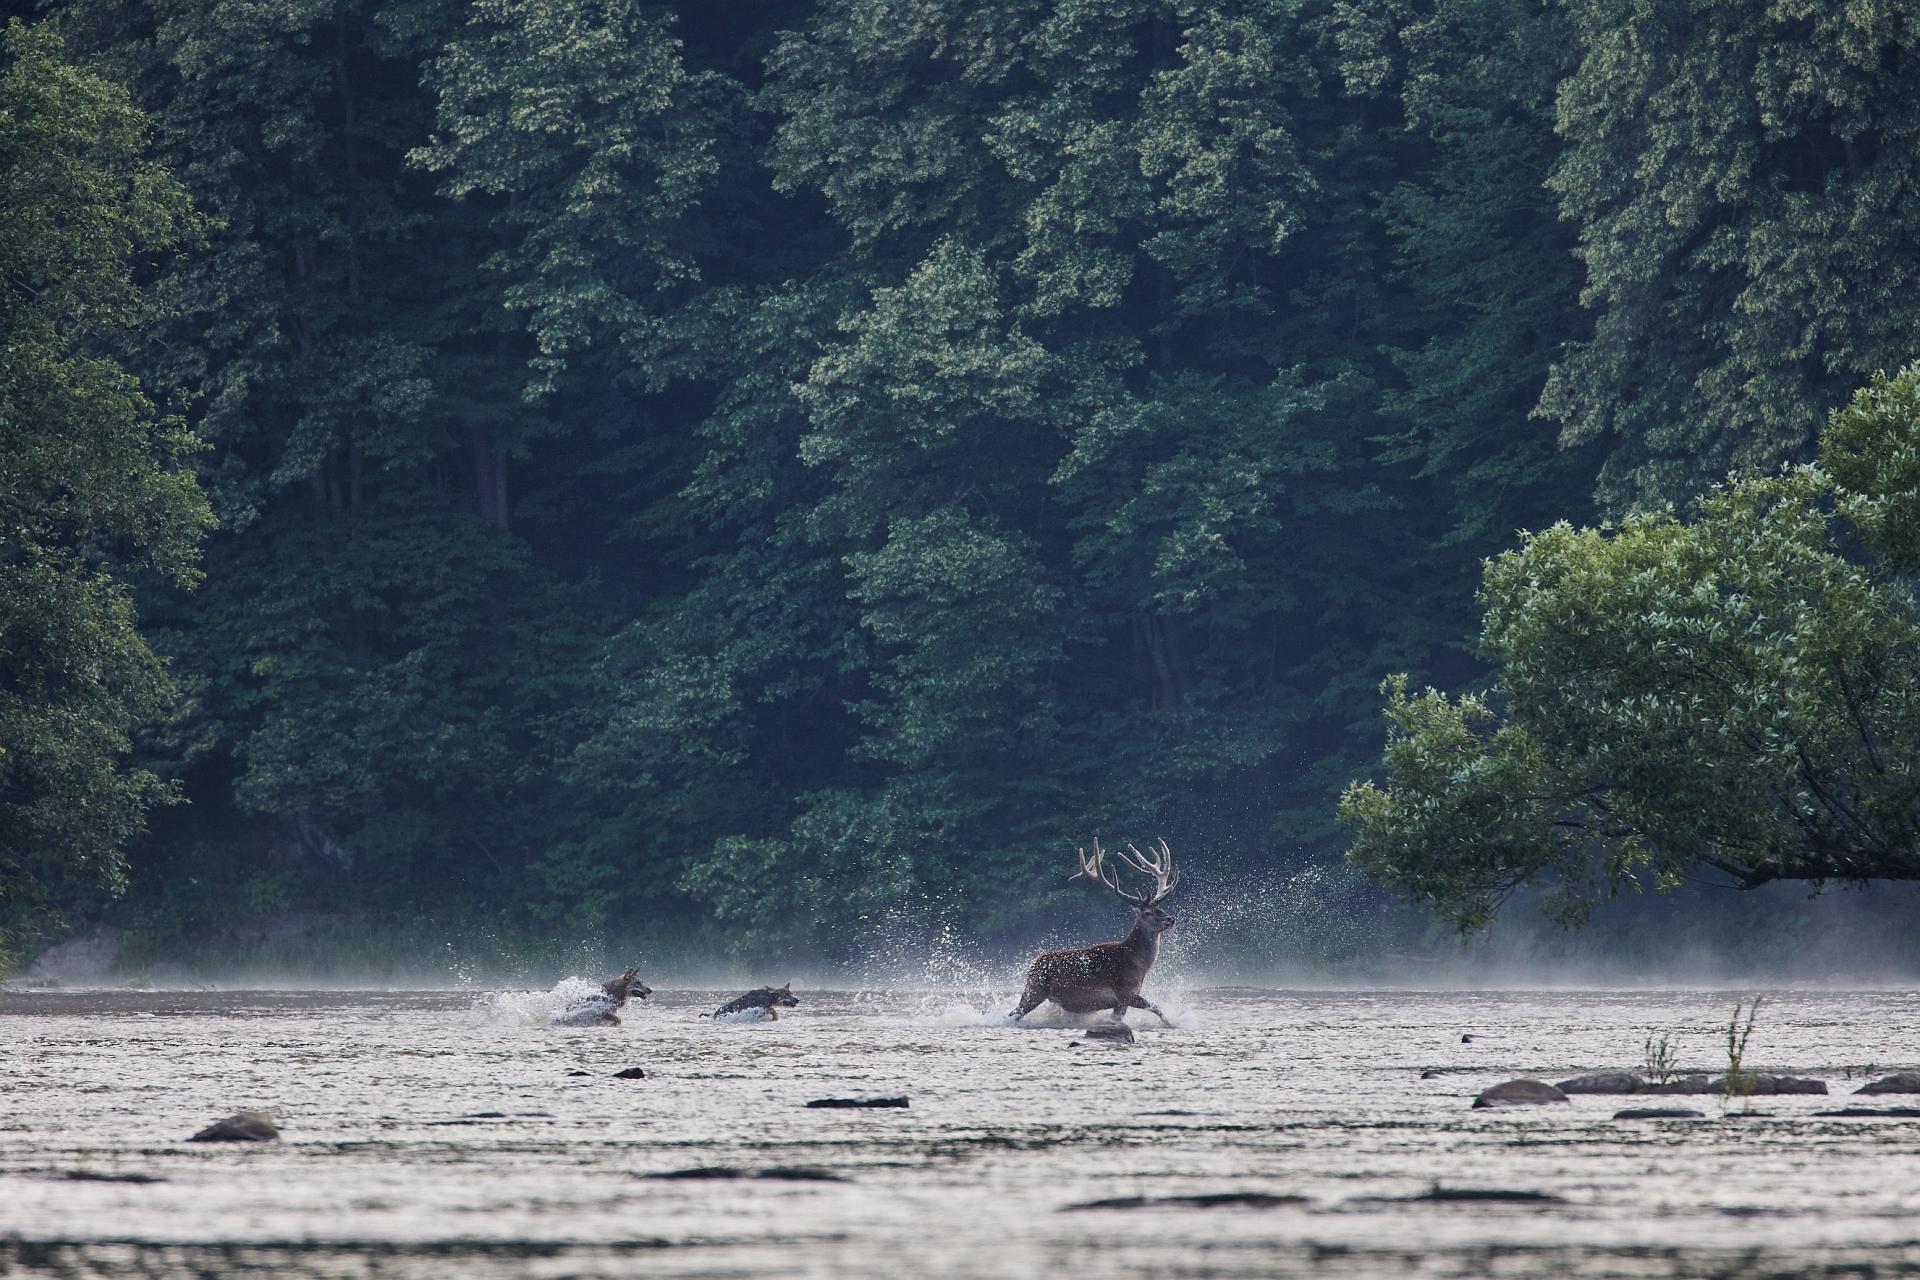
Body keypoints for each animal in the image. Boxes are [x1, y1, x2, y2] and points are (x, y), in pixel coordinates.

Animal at [1013, 840, 1175, 1028]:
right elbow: (1156, 1007)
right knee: (1016, 1012)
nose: (1170, 919)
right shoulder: (1124, 992)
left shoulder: (1123, 1000)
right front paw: (1171, 1024)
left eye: (1160, 908)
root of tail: (1033, 964)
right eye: (1147, 913)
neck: (1137, 966)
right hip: (1035, 989)